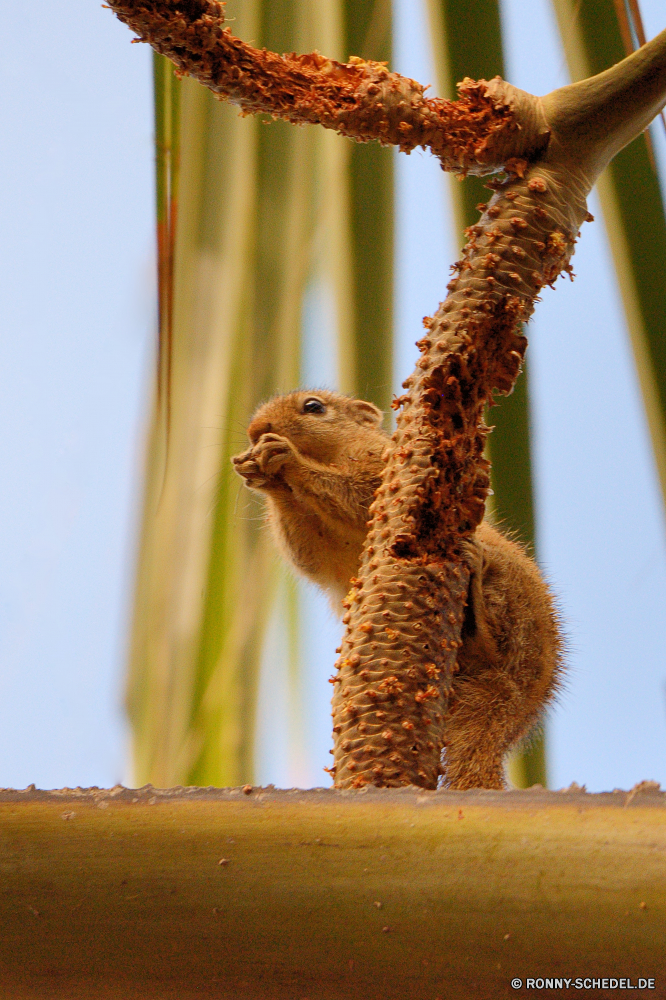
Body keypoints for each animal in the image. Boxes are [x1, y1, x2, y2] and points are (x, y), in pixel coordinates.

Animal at [231, 390, 564, 788]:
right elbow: (306, 553)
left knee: (495, 641)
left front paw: (285, 458)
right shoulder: (315, 545)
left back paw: (476, 585)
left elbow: (358, 495)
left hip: (511, 602)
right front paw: (260, 473)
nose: (255, 429)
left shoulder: (383, 471)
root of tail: (516, 701)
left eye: (314, 407)